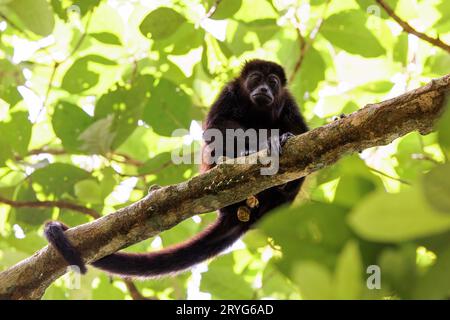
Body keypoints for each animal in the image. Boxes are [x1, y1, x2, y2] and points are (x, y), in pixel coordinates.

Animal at [44, 60, 308, 278]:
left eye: (272, 82)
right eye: (255, 78)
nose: (264, 89)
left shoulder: (288, 102)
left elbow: (299, 129)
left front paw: (281, 138)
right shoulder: (229, 92)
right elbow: (217, 126)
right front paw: (258, 145)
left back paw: (284, 181)